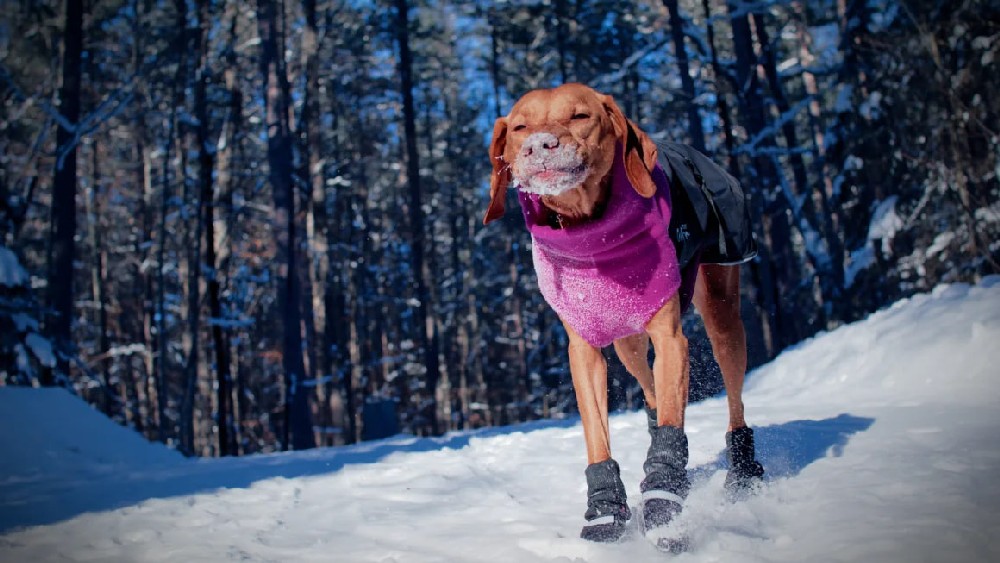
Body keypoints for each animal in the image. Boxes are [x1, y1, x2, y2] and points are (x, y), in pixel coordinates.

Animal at [484, 83, 764, 548]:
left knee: (733, 393)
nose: (539, 145)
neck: (592, 237)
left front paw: (664, 503)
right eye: (520, 126)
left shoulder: (671, 338)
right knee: (649, 387)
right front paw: (604, 511)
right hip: (625, 340)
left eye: (580, 116)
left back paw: (744, 472)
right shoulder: (584, 350)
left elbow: (671, 425)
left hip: (722, 310)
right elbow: (599, 434)